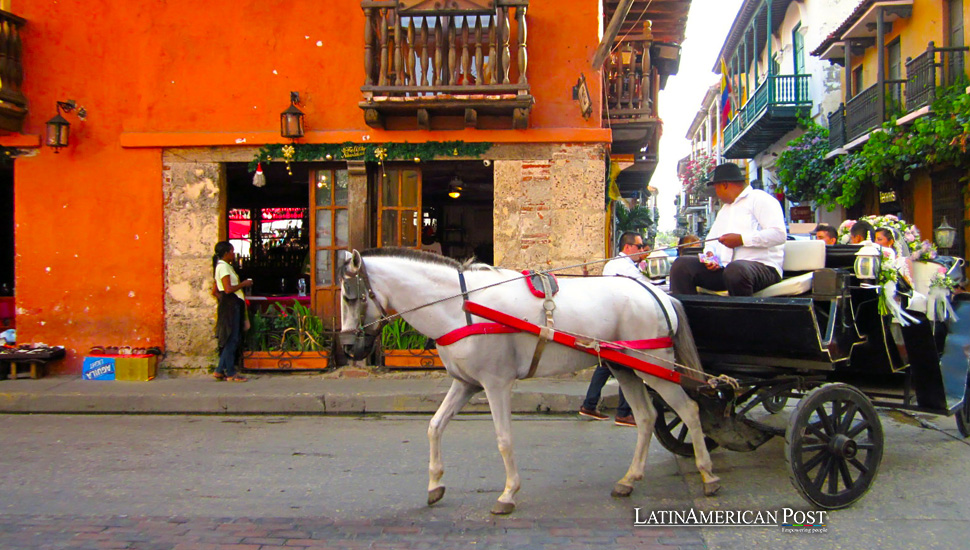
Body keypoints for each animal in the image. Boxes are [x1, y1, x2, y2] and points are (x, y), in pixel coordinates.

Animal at [336, 250, 716, 516]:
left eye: (352, 296)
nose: (349, 347)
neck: (461, 306)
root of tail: (655, 292)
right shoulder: (465, 384)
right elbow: (434, 426)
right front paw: (434, 485)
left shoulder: (496, 384)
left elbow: (504, 440)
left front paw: (508, 494)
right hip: (624, 368)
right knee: (647, 417)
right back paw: (629, 479)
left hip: (655, 368)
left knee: (689, 410)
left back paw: (707, 475)